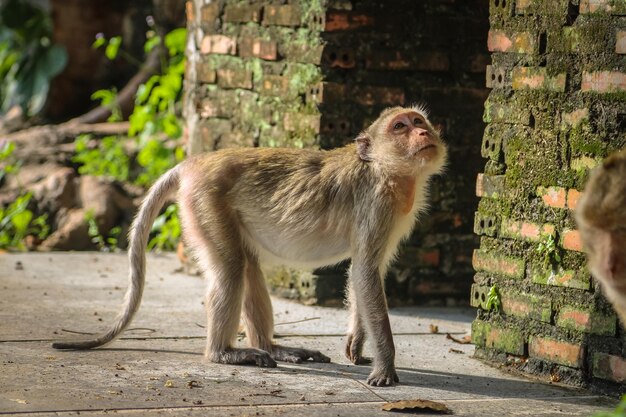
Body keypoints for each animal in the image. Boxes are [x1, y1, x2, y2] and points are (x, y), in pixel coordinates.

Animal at [52, 106, 444, 386]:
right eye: (400, 127)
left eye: (418, 120)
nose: (424, 131)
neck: (385, 169)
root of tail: (196, 161)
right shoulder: (377, 204)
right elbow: (365, 272)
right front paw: (386, 367)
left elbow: (365, 272)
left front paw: (358, 345)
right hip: (204, 203)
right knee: (232, 268)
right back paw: (223, 353)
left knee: (248, 265)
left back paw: (273, 347)